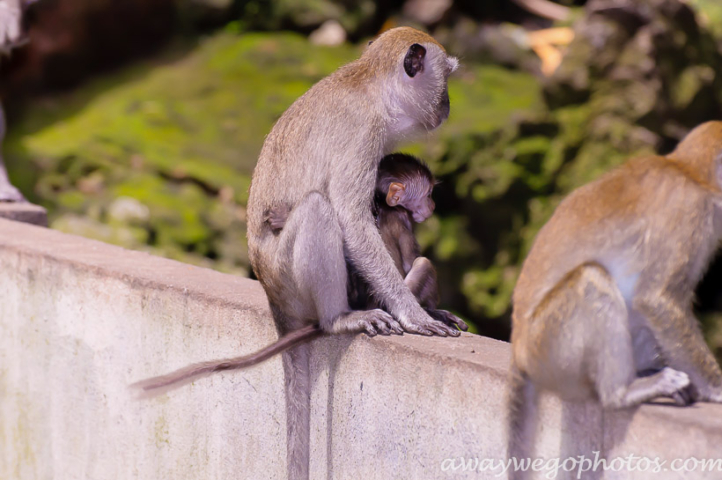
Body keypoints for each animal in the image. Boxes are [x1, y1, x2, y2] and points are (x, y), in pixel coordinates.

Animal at [504, 121, 720, 472]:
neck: (689, 171)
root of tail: (518, 349)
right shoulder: (691, 211)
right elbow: (656, 299)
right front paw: (717, 389)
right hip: (549, 349)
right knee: (593, 279)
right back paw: (621, 392)